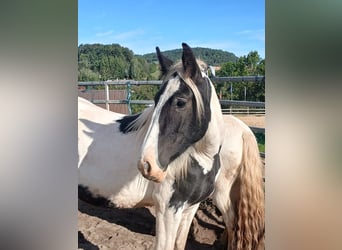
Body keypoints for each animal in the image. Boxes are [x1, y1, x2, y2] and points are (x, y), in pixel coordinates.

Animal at [78, 43, 264, 250]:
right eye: (156, 99)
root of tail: (244, 130)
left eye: (180, 102)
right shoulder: (168, 211)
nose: (147, 165)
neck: (198, 159)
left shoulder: (190, 208)